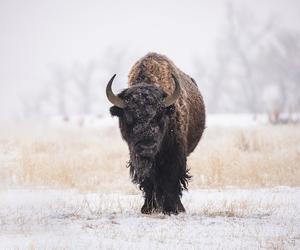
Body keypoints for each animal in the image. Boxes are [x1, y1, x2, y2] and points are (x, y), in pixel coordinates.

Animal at [106, 52, 206, 215]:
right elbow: (149, 180)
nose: (147, 147)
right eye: (129, 116)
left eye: (159, 116)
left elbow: (172, 179)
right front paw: (148, 208)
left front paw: (174, 209)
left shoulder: (175, 154)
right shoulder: (137, 156)